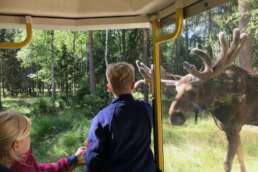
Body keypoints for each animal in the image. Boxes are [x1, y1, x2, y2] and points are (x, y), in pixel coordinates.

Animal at [135, 28, 258, 172]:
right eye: (176, 90)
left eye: (192, 91)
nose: (174, 117)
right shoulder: (228, 129)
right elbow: (241, 158)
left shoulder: (235, 126)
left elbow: (228, 163)